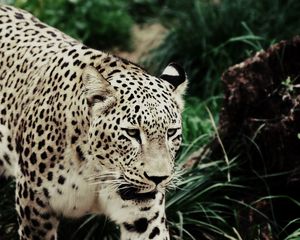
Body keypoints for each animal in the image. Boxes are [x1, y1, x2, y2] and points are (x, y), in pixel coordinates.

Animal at [0, 4, 188, 240]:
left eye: (171, 133)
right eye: (132, 133)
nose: (158, 178)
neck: (96, 171)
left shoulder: (144, 216)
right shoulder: (34, 206)